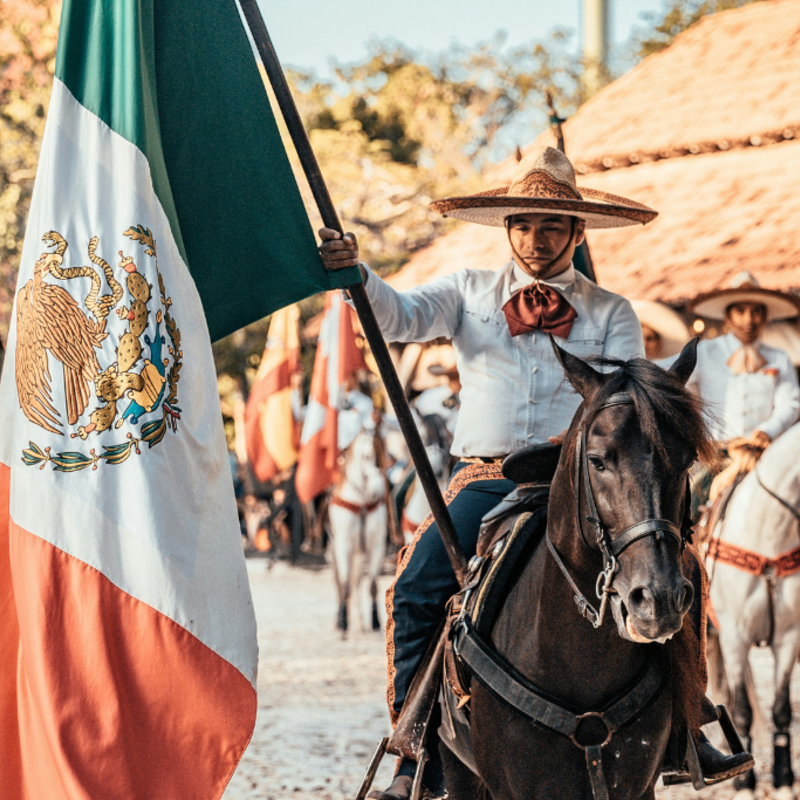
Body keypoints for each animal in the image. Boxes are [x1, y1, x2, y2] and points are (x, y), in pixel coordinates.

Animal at [326, 432, 386, 636]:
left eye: (385, 452)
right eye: (366, 457)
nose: (377, 490)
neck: (361, 501)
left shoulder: (376, 547)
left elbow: (373, 585)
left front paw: (375, 622)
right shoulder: (343, 547)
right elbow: (344, 585)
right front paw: (343, 623)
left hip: (359, 555)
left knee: (357, 582)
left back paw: (361, 623)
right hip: (337, 554)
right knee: (342, 583)